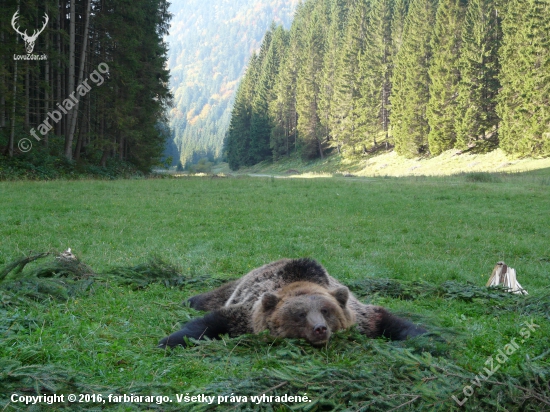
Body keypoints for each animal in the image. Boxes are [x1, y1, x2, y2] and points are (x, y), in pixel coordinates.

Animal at [157, 258, 430, 348]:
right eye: (299, 314)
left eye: (326, 311)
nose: (319, 329)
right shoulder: (247, 313)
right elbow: (212, 321)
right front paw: (169, 340)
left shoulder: (360, 315)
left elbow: (387, 320)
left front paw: (429, 339)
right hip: (236, 286)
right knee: (213, 296)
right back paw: (190, 299)